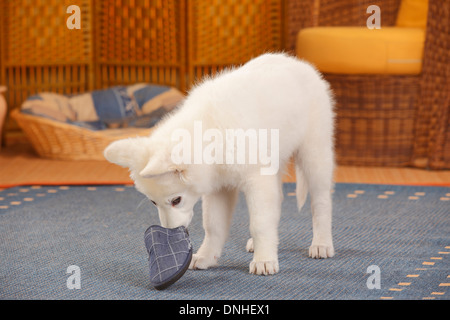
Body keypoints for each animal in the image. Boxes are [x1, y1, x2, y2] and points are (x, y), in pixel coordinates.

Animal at [104, 52, 334, 276]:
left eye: (176, 200)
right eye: (153, 202)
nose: (171, 234)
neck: (212, 133)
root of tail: (299, 63)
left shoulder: (256, 179)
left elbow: (259, 222)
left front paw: (264, 260)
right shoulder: (219, 187)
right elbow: (214, 226)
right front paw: (207, 256)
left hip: (314, 154)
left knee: (321, 202)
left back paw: (321, 243)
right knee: (277, 200)